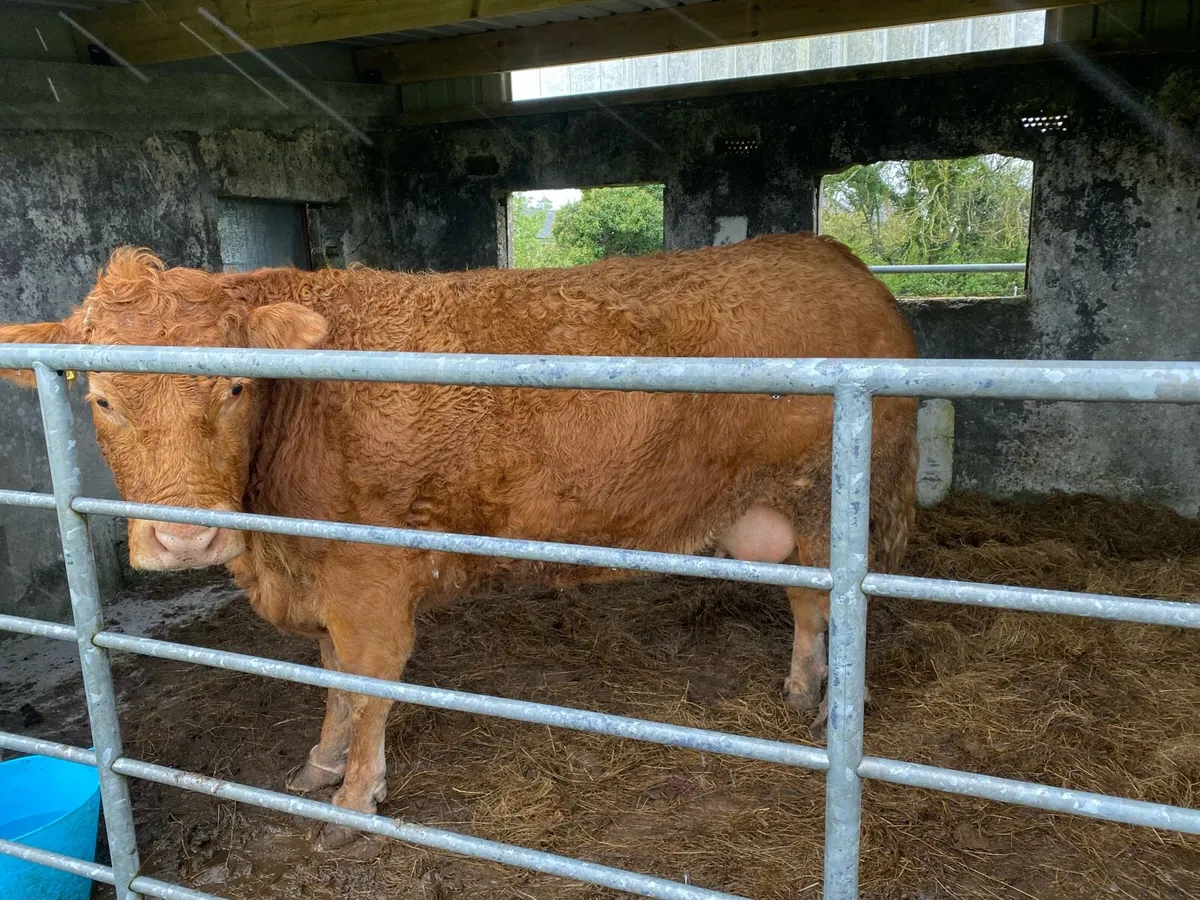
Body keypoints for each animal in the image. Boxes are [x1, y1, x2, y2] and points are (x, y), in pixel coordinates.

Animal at [0, 234, 918, 849]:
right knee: (806, 601)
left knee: (846, 606)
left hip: (841, 503)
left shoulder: (366, 579)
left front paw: (353, 802)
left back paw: (840, 705)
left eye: (233, 387)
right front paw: (320, 764)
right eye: (101, 396)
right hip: (780, 514)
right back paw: (802, 689)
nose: (187, 540)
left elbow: (366, 684)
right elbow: (331, 681)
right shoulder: (324, 581)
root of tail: (830, 253)